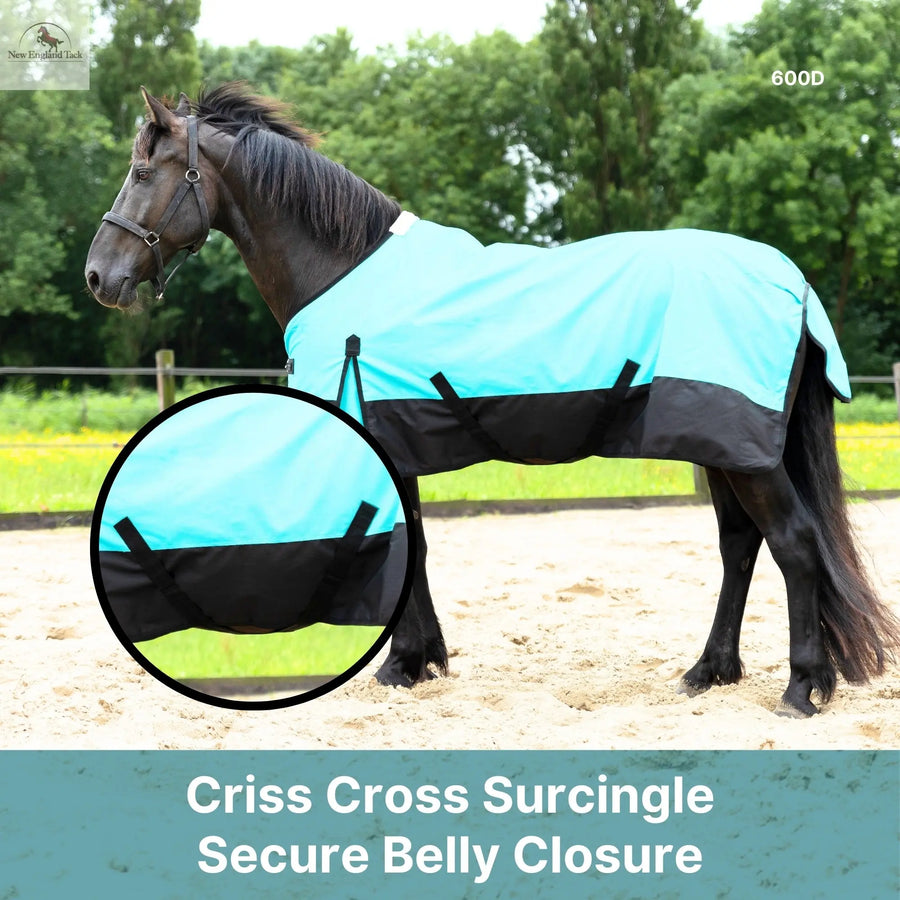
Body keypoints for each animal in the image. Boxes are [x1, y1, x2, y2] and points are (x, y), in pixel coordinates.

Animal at [85, 83, 898, 717]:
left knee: (793, 544)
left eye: (141, 170)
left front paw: (399, 666)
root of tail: (791, 281)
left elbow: (403, 545)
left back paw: (802, 689)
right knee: (740, 546)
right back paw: (707, 673)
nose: (99, 276)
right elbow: (413, 541)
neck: (342, 269)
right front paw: (422, 662)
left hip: (746, 451)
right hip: (724, 445)